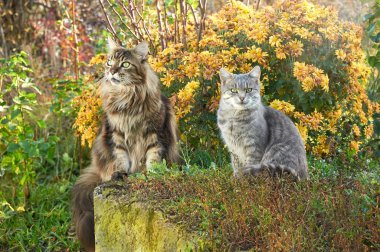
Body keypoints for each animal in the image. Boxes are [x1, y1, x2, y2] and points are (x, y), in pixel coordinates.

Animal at [71, 38, 181, 252]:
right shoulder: (116, 135)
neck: (127, 98)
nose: (112, 71)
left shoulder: (156, 133)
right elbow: (121, 158)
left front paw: (152, 175)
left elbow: (153, 158)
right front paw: (121, 174)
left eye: (125, 64)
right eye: (109, 62)